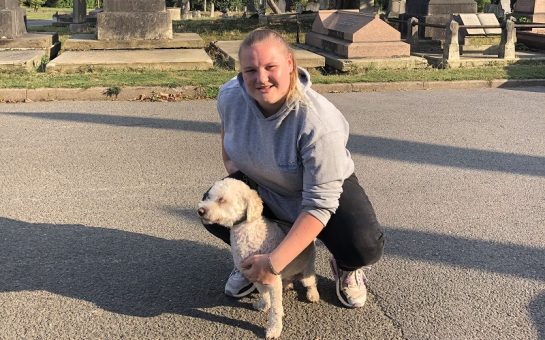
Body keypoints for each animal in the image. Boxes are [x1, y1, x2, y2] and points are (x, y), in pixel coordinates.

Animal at [198, 179, 318, 338]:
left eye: (221, 200)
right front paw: (264, 304)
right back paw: (288, 284)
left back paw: (313, 294)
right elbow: (263, 293)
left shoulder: (271, 278)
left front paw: (274, 328)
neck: (246, 229)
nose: (200, 210)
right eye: (209, 197)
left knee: (311, 282)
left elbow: (276, 309)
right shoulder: (254, 274)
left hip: (307, 270)